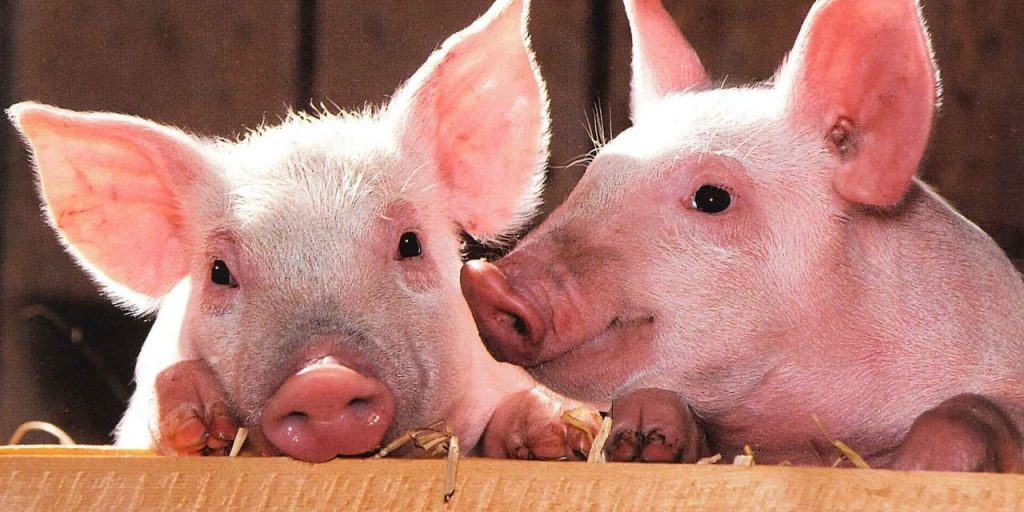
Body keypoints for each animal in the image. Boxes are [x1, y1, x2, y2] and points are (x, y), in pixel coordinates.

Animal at [461, 0, 1024, 472]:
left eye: (713, 198)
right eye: (594, 175)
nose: (483, 279)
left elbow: (969, 413)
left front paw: (915, 467)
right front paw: (638, 432)